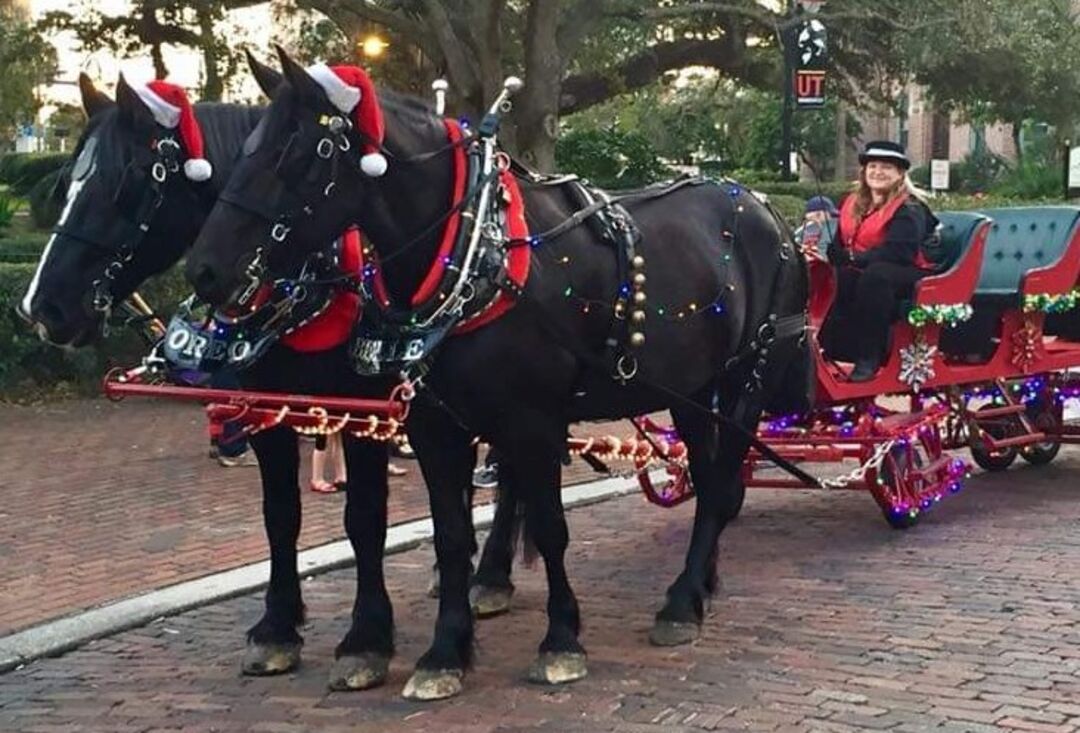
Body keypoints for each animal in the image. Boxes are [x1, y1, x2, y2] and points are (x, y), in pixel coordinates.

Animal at [183, 48, 812, 703]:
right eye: (248, 148)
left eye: (299, 154)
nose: (205, 270)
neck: (476, 253)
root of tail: (766, 208)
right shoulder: (434, 425)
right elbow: (451, 535)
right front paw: (443, 652)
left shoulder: (532, 421)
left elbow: (551, 527)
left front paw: (560, 642)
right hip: (692, 388)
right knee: (713, 477)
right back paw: (699, 585)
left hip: (745, 381)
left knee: (719, 484)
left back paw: (682, 603)